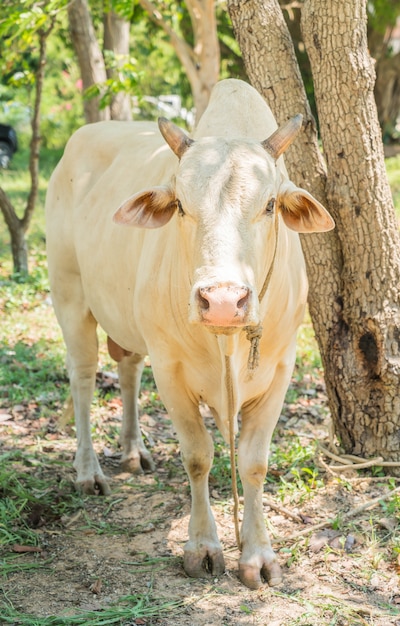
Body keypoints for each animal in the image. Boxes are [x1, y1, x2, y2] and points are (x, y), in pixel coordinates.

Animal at [46, 79, 334, 588]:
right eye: (180, 205)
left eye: (270, 205)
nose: (222, 300)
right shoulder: (171, 369)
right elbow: (198, 455)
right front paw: (203, 547)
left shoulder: (280, 370)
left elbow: (254, 462)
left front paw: (258, 555)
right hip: (70, 296)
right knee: (82, 379)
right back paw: (88, 470)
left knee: (127, 370)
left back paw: (134, 451)